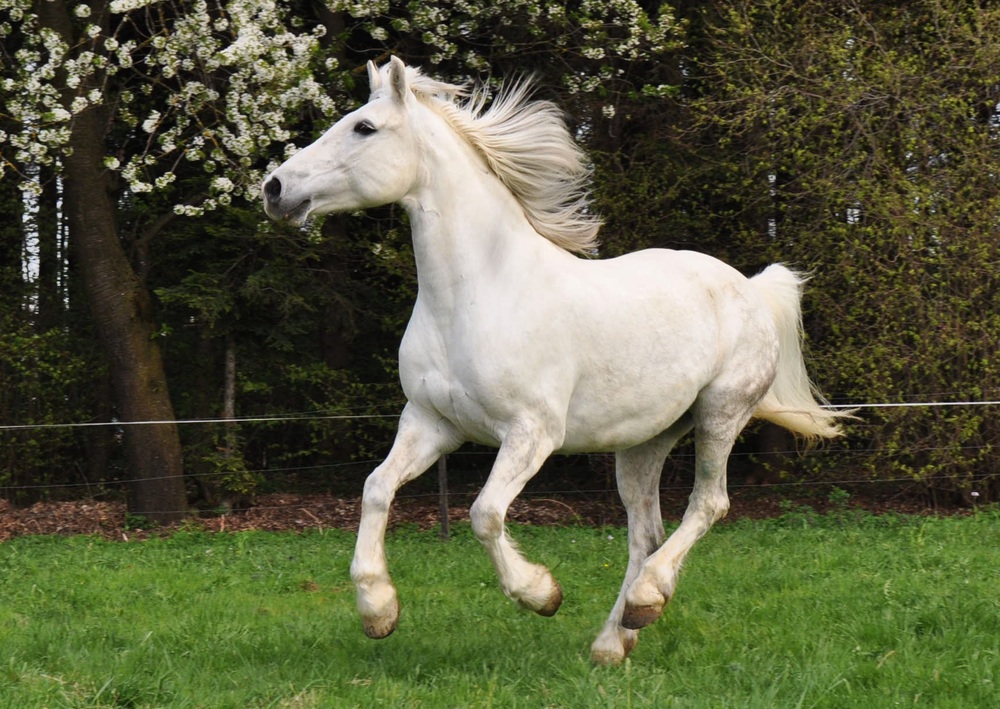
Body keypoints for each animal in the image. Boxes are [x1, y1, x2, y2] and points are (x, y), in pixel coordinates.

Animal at [262, 56, 850, 665]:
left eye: (365, 128)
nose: (274, 188)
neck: (475, 295)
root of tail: (750, 288)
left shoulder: (532, 432)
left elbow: (484, 513)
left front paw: (541, 594)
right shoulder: (430, 422)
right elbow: (376, 487)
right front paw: (378, 611)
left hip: (721, 414)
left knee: (709, 504)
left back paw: (647, 599)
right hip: (644, 441)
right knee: (645, 531)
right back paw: (615, 639)